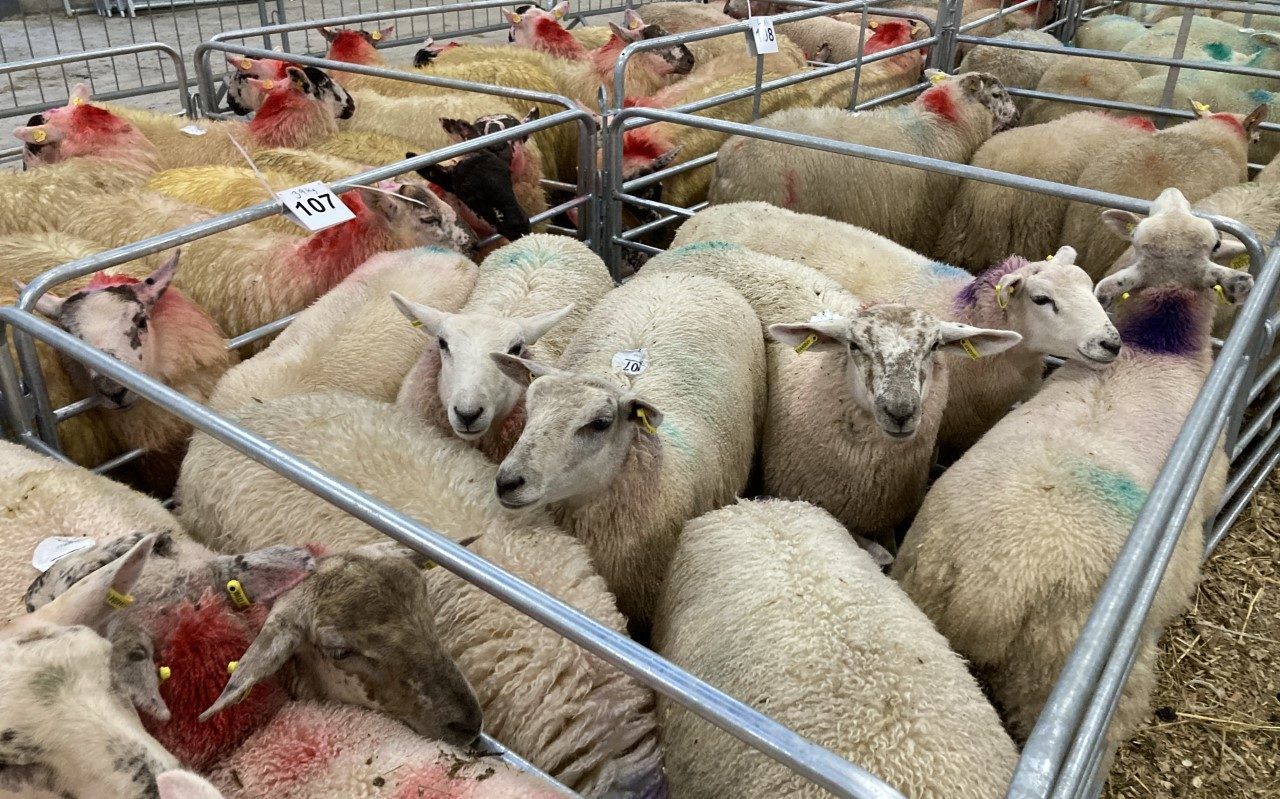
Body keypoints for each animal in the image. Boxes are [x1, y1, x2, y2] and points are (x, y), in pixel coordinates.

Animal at [893, 187, 1248, 759]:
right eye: (1215, 242)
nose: (1171, 194)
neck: (1157, 346)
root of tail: (989, 591)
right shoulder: (1212, 477)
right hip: (1061, 675)